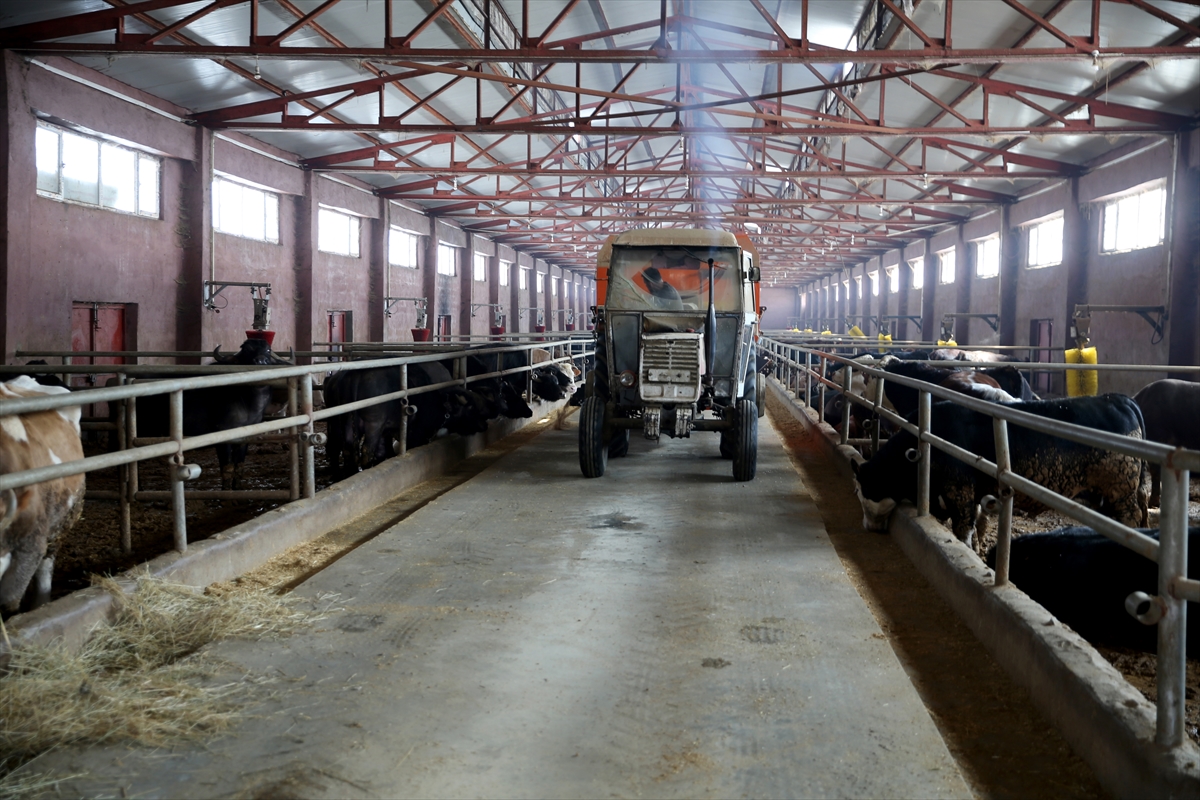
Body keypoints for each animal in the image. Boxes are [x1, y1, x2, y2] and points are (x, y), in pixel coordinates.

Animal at [126, 338, 293, 490]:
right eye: (246, 349)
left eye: (268, 350)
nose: (261, 361)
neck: (247, 400)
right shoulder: (222, 436)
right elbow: (227, 466)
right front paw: (226, 491)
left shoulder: (246, 438)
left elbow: (239, 466)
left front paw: (237, 488)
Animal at [852, 394, 1151, 551]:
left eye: (866, 492)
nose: (867, 526)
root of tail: (1120, 399)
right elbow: (978, 524)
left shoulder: (959, 491)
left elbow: (963, 528)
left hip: (1121, 489)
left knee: (1130, 517)